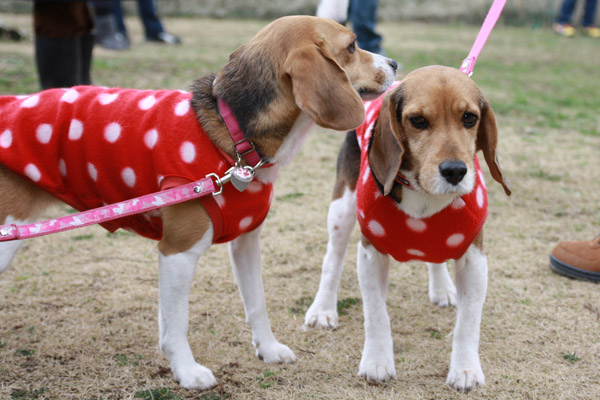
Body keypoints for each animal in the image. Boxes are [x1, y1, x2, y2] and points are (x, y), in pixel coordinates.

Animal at [0, 17, 398, 390]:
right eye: (351, 47)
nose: (394, 62)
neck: (234, 138)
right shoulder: (178, 252)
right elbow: (177, 323)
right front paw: (187, 372)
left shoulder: (246, 242)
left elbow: (256, 304)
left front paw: (268, 349)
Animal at [304, 66, 510, 394]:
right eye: (418, 121)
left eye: (469, 118)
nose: (455, 171)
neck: (424, 196)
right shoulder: (370, 253)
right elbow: (376, 314)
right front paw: (377, 362)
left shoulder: (474, 259)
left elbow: (468, 322)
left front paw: (465, 369)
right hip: (341, 209)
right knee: (332, 260)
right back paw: (323, 309)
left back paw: (442, 288)